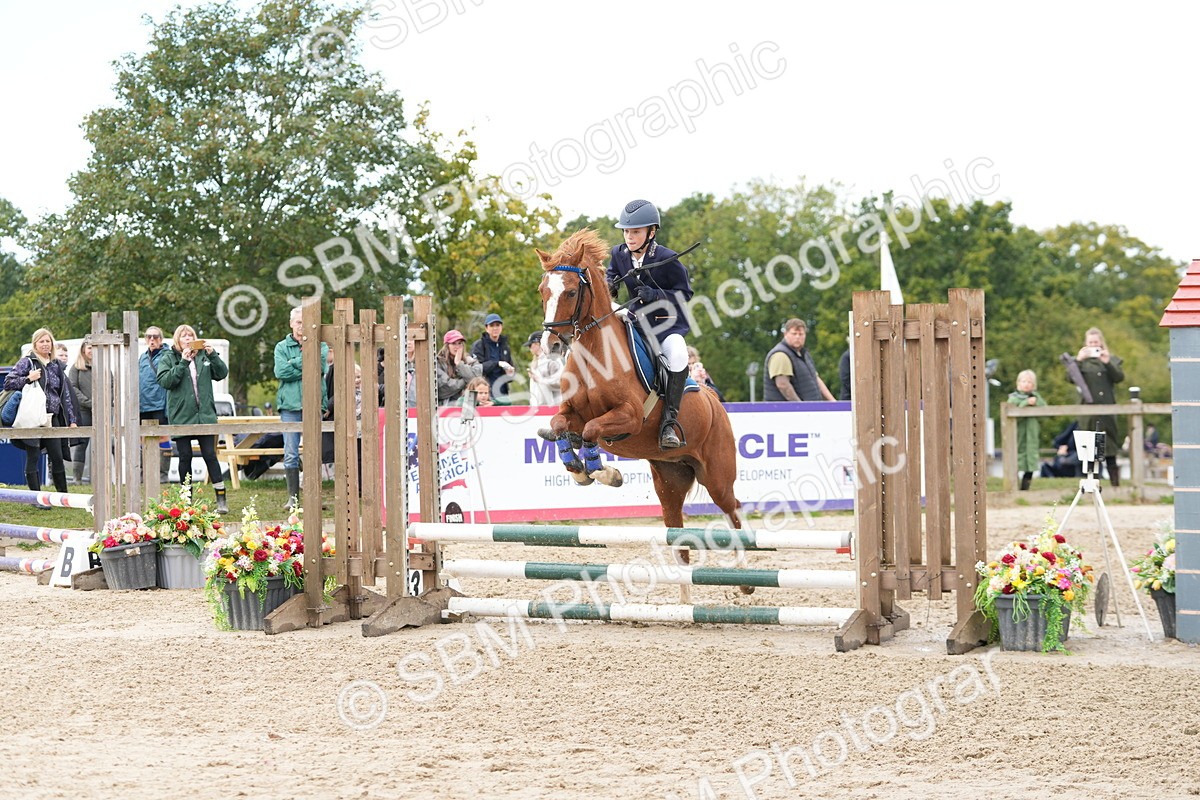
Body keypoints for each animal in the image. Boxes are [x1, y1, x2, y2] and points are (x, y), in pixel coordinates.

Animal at [534, 229, 745, 543]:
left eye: (571, 292)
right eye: (542, 291)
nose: (552, 345)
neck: (595, 355)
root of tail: (713, 400)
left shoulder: (630, 416)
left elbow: (592, 430)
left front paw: (604, 473)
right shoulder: (572, 410)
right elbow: (560, 424)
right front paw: (577, 468)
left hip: (717, 476)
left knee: (734, 510)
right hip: (669, 477)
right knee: (675, 523)